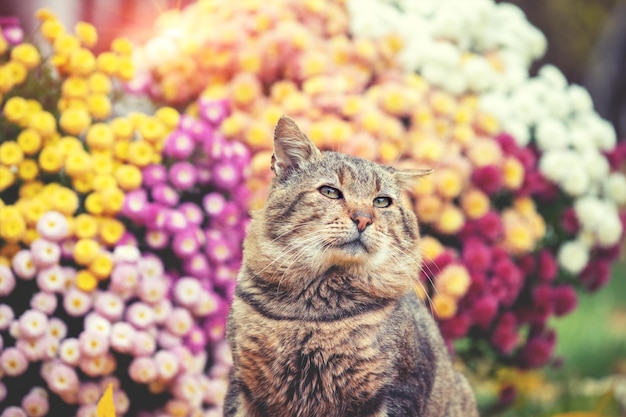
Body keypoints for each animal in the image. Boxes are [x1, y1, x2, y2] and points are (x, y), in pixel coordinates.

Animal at [224, 114, 478, 416]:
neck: (313, 314)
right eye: (330, 192)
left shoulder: (397, 392)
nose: (363, 218)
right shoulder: (242, 384)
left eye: (381, 201)